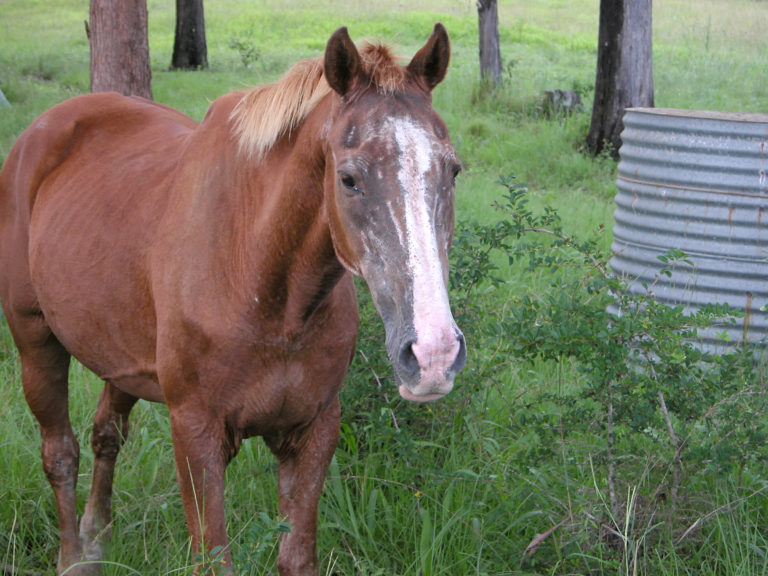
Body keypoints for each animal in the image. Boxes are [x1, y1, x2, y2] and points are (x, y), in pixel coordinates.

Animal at [0, 24, 465, 575]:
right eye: (348, 178)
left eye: (453, 171)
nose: (433, 353)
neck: (268, 292)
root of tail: (45, 129)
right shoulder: (197, 434)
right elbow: (212, 556)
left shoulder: (313, 431)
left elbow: (296, 556)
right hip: (36, 341)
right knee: (60, 452)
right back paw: (74, 557)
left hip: (119, 356)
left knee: (105, 436)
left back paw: (96, 540)